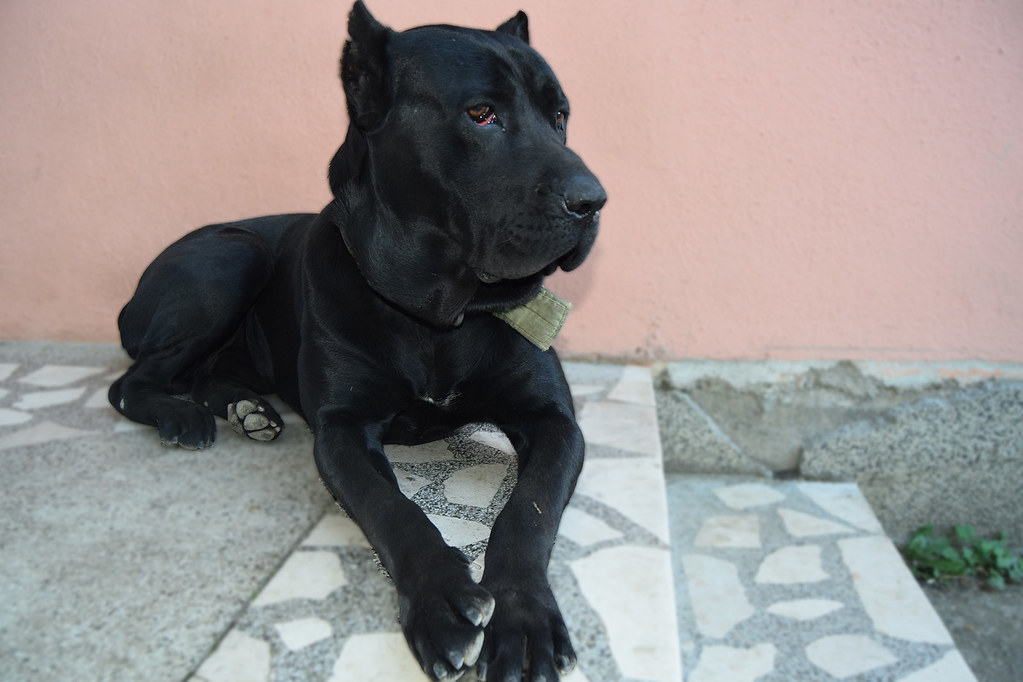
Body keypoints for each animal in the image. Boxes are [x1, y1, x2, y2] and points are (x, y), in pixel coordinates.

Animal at [109, 2, 605, 678]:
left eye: (560, 117)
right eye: (482, 114)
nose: (593, 201)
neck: (435, 317)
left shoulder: (554, 421)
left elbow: (526, 513)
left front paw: (523, 616)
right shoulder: (342, 429)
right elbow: (392, 509)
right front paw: (442, 601)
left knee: (207, 375)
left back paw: (246, 409)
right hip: (232, 257)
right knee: (129, 384)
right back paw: (181, 416)